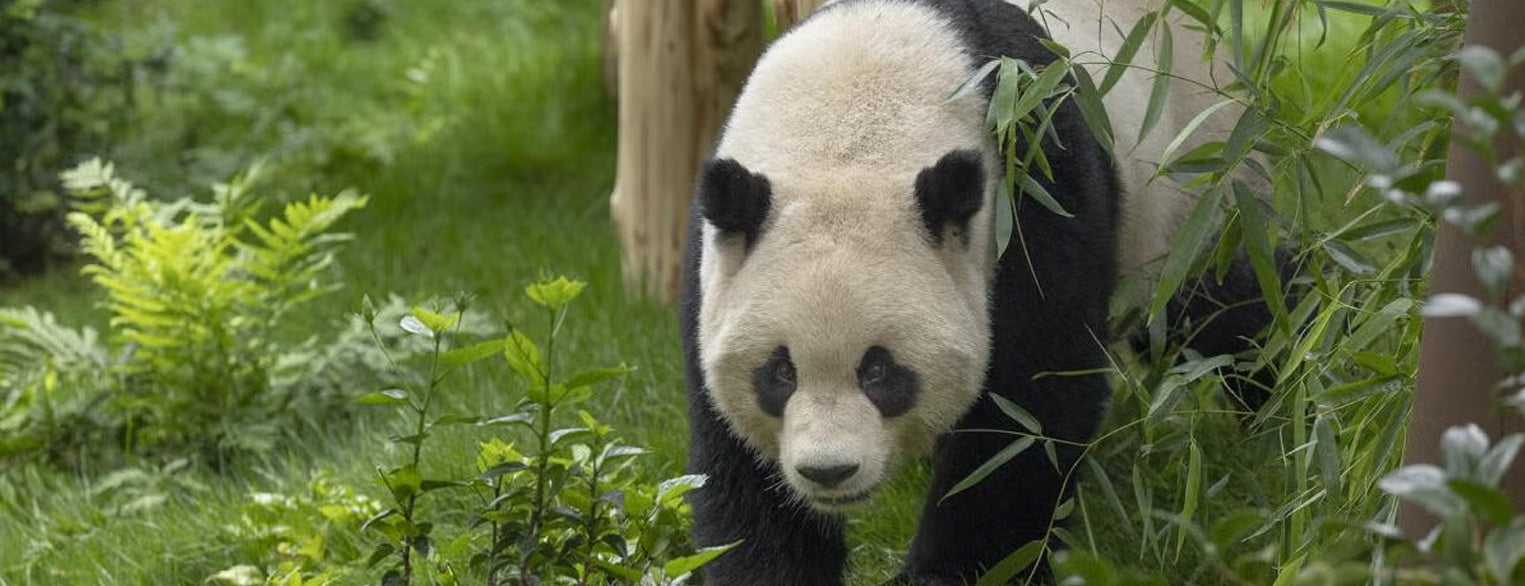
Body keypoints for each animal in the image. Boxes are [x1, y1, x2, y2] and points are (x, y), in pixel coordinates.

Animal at [677, 0, 1271, 583]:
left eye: (880, 371)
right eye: (780, 372)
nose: (830, 471)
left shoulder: (1031, 182)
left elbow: (1029, 409)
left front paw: (946, 572)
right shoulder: (714, 267)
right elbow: (738, 466)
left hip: (1192, 194)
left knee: (1226, 310)